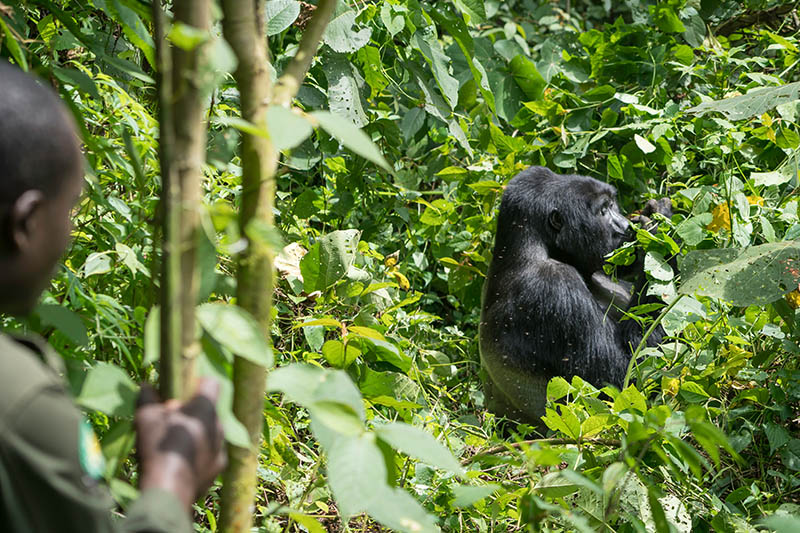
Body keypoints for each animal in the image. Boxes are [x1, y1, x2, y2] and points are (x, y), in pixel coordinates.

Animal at [482, 166, 668, 424]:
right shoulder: (554, 284)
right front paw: (660, 230)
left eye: (613, 205)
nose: (626, 227)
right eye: (603, 210)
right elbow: (626, 380)